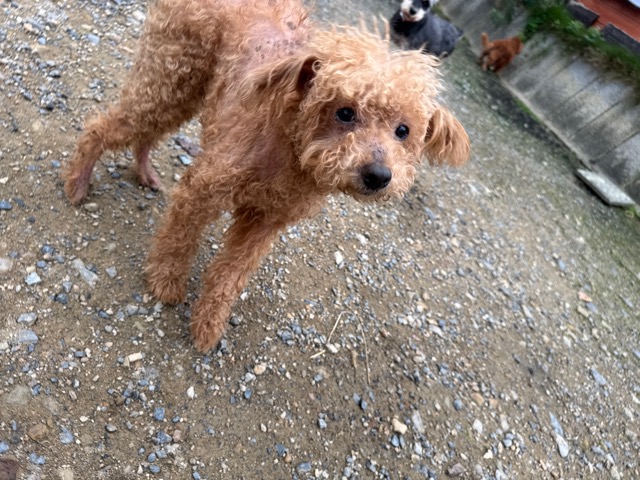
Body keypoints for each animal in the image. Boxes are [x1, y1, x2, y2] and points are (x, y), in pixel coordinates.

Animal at [64, 0, 470, 352]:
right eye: (344, 112)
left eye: (403, 130)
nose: (379, 175)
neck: (290, 151)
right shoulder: (202, 190)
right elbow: (178, 241)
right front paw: (166, 283)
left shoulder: (266, 222)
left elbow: (229, 277)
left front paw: (208, 325)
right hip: (170, 74)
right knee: (103, 126)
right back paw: (78, 184)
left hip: (184, 89)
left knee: (147, 132)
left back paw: (144, 172)